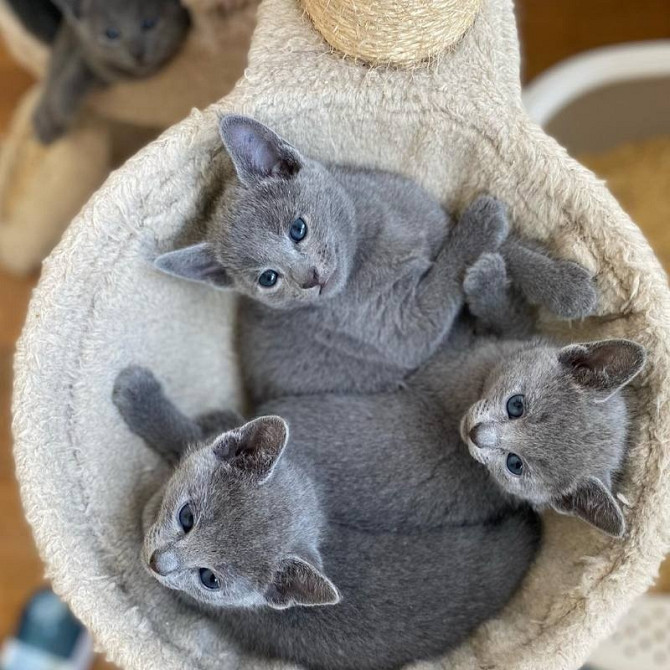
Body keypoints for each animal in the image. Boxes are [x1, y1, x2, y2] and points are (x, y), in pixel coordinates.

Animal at [34, 0, 192, 144]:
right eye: (111, 34)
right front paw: (60, 106)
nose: (137, 54)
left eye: (149, 23)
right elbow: (82, 65)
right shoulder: (87, 49)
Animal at [156, 114, 600, 404]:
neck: (371, 242)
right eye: (268, 278)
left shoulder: (435, 222)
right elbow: (449, 273)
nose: (310, 279)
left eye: (297, 229)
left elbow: (508, 248)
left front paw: (568, 287)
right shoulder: (403, 328)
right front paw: (484, 221)